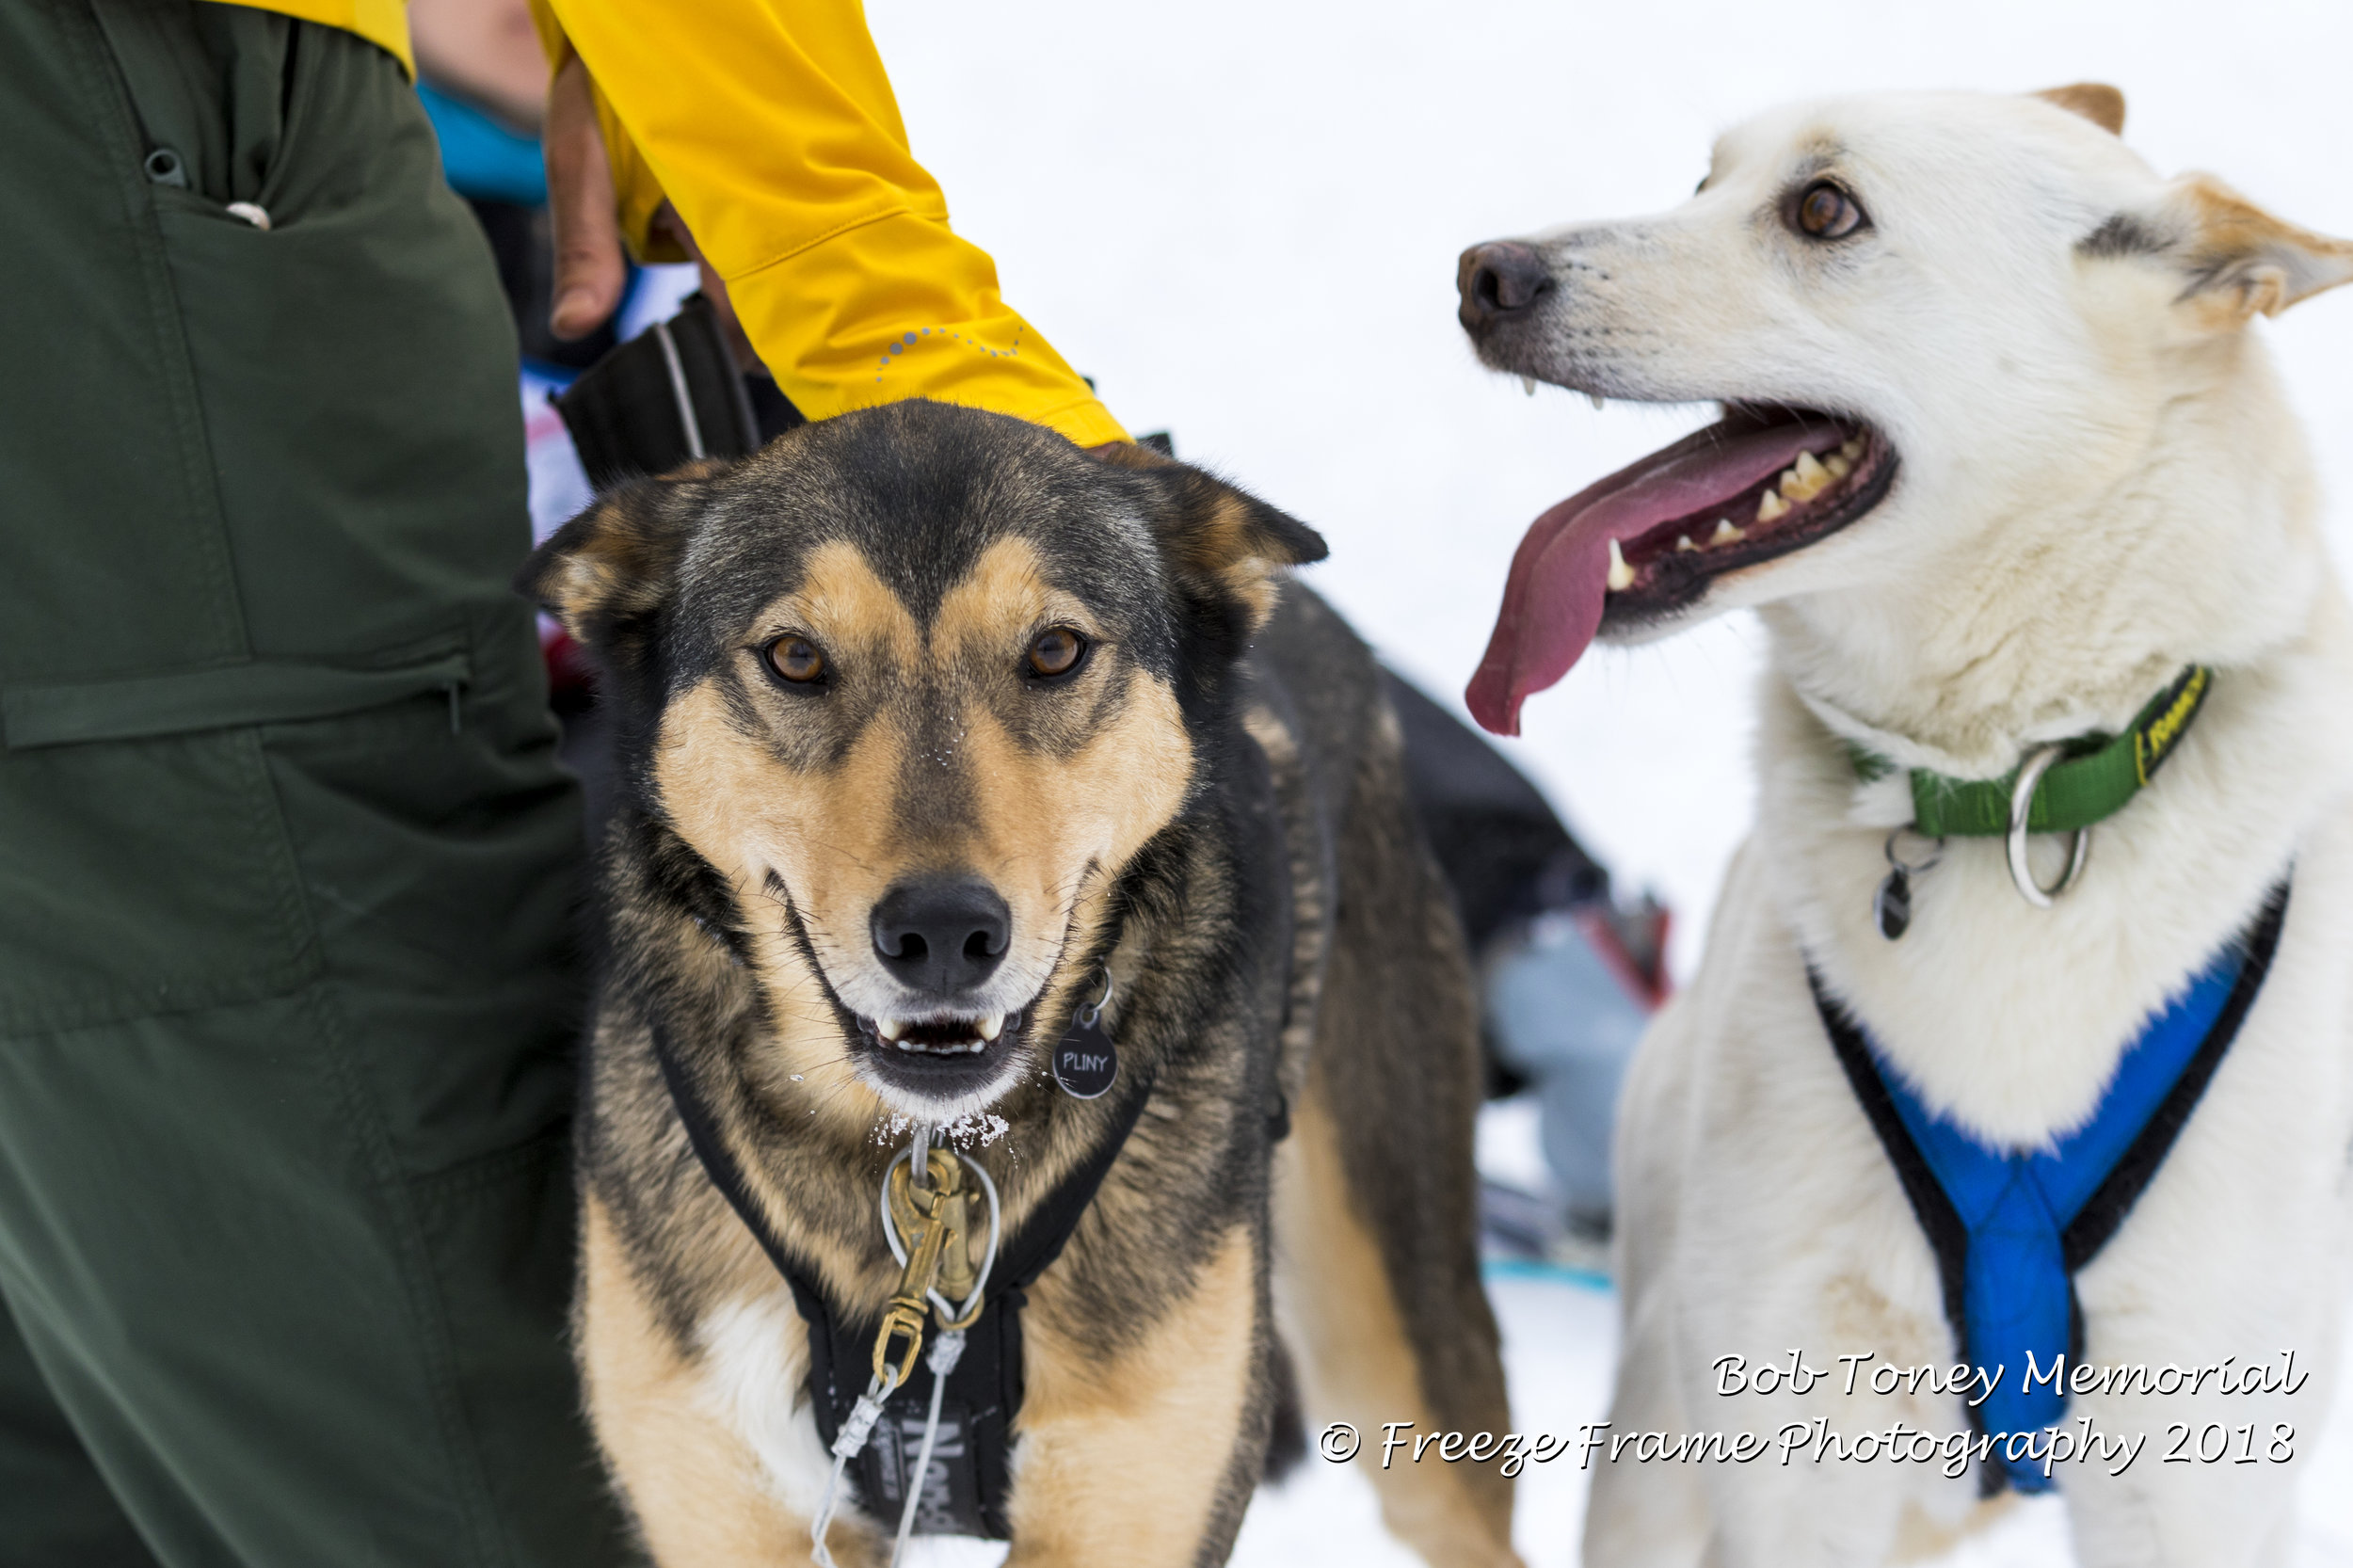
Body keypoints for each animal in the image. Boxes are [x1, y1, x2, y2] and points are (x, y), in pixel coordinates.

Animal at [527, 402, 1525, 1562]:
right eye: (794, 656)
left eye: (1053, 650)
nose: (944, 932)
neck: (919, 1166)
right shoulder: (720, 1496)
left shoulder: (1135, 1498)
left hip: (1402, 1353)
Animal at [1449, 85, 2353, 1562]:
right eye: (1702, 180)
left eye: (1824, 209)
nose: (1482, 274)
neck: (2004, 792)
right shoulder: (1787, 1445)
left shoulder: (2194, 1474)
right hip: (1656, 1444)